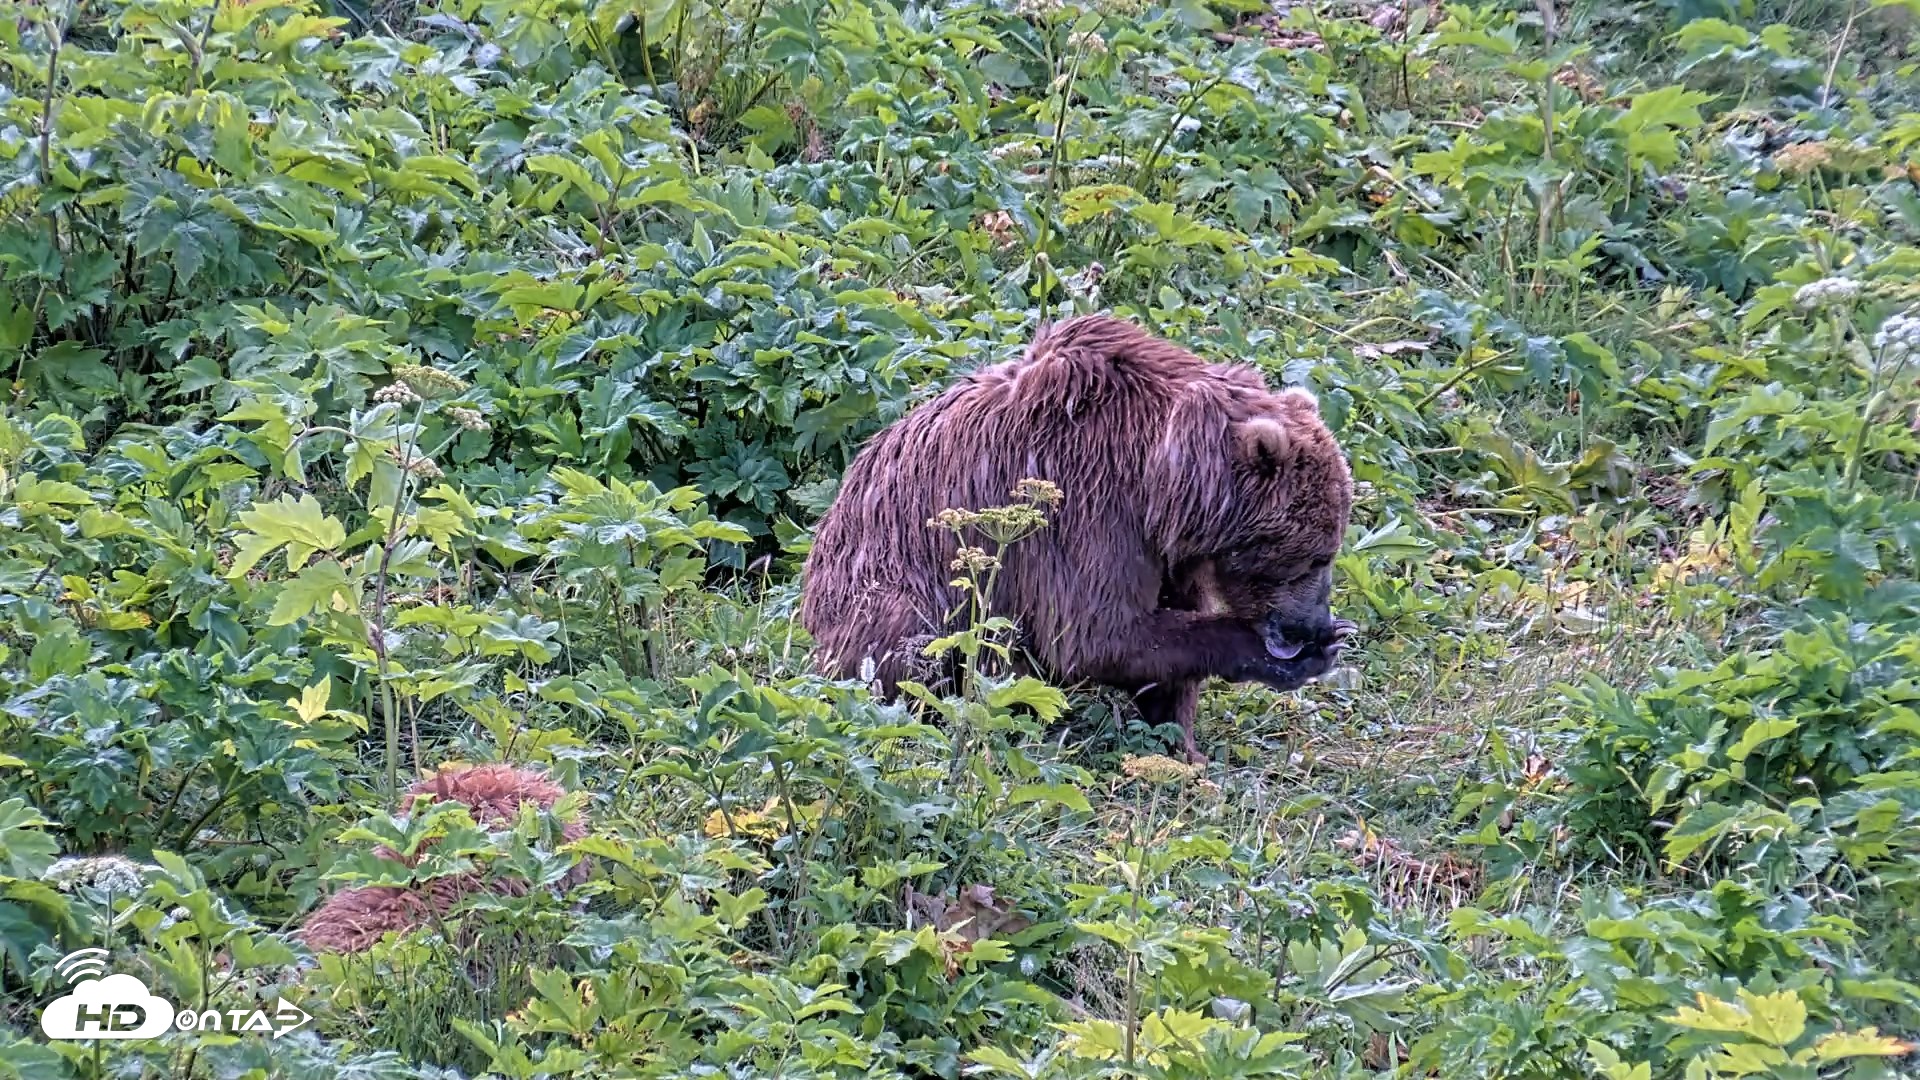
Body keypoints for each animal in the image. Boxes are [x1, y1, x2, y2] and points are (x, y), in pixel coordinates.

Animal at [800, 313, 1355, 762]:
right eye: (1316, 557)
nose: (1314, 624)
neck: (1164, 476)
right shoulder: (1085, 505)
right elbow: (1094, 634)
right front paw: (1282, 655)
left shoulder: (1170, 550)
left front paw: (1183, 744)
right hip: (889, 585)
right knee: (905, 648)